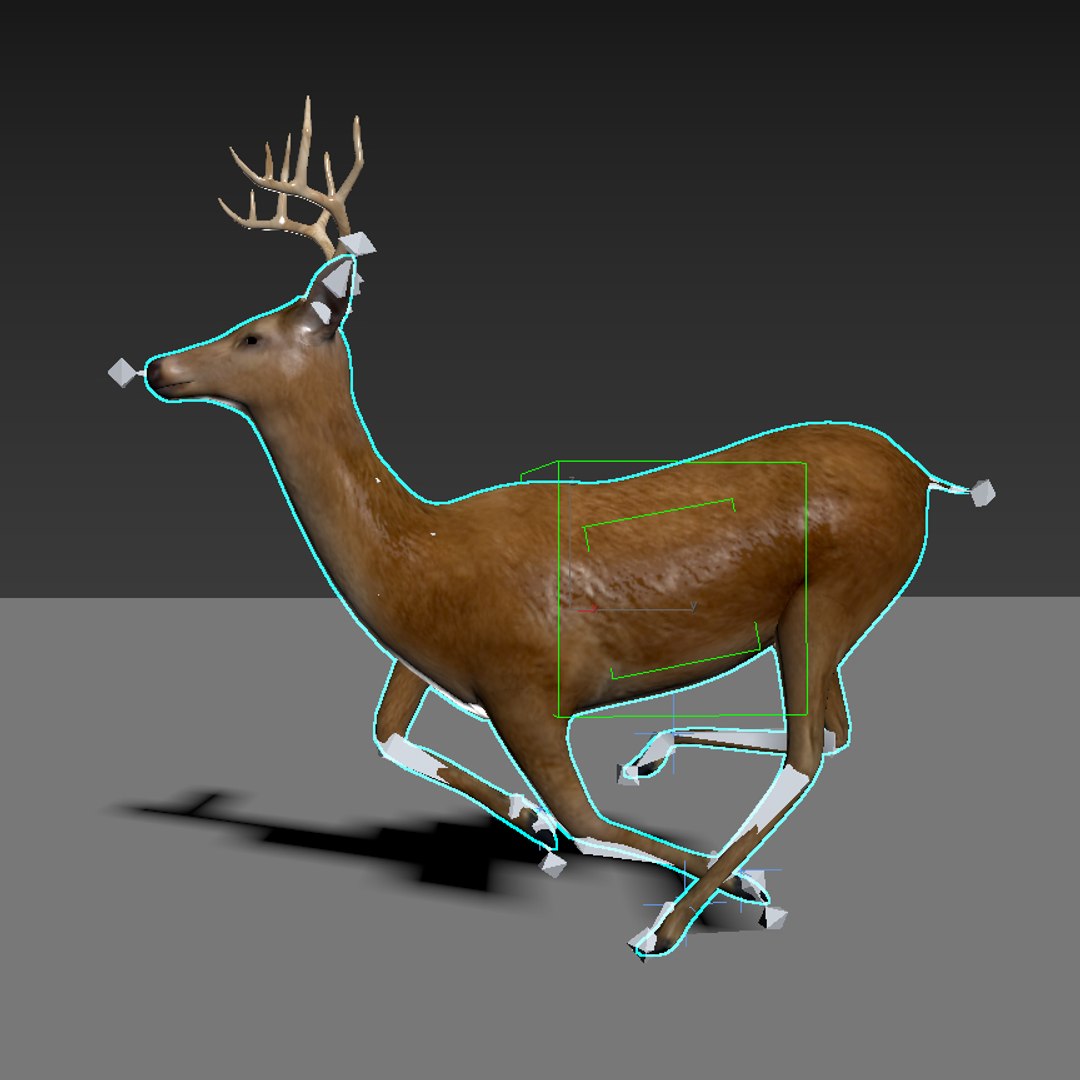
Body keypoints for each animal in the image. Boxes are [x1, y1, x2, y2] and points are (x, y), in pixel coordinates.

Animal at [130, 98, 996, 960]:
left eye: (252, 333)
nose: (158, 368)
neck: (419, 555)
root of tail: (921, 475)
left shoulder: (527, 686)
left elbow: (584, 823)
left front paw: (725, 887)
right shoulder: (424, 659)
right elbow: (385, 733)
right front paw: (529, 817)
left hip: (837, 595)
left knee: (807, 752)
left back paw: (678, 917)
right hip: (817, 614)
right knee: (836, 729)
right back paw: (652, 756)